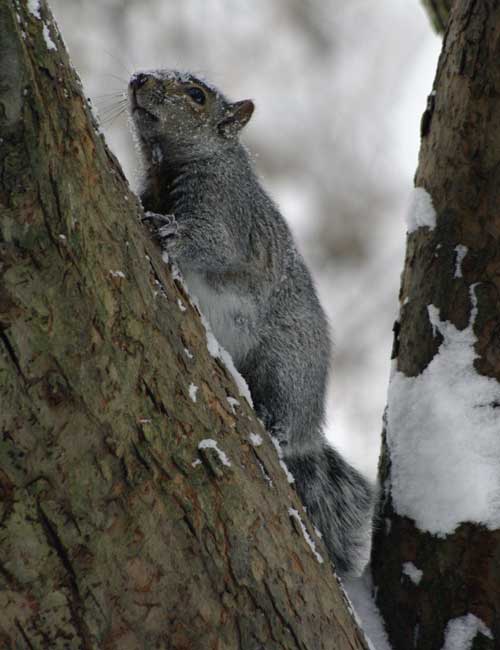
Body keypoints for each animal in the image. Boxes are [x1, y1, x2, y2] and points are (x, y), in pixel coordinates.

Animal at [128, 69, 375, 576]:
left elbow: (208, 243)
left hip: (286, 366)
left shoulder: (225, 214)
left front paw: (166, 228)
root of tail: (310, 432)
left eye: (197, 95)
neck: (172, 163)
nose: (138, 78)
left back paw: (273, 423)